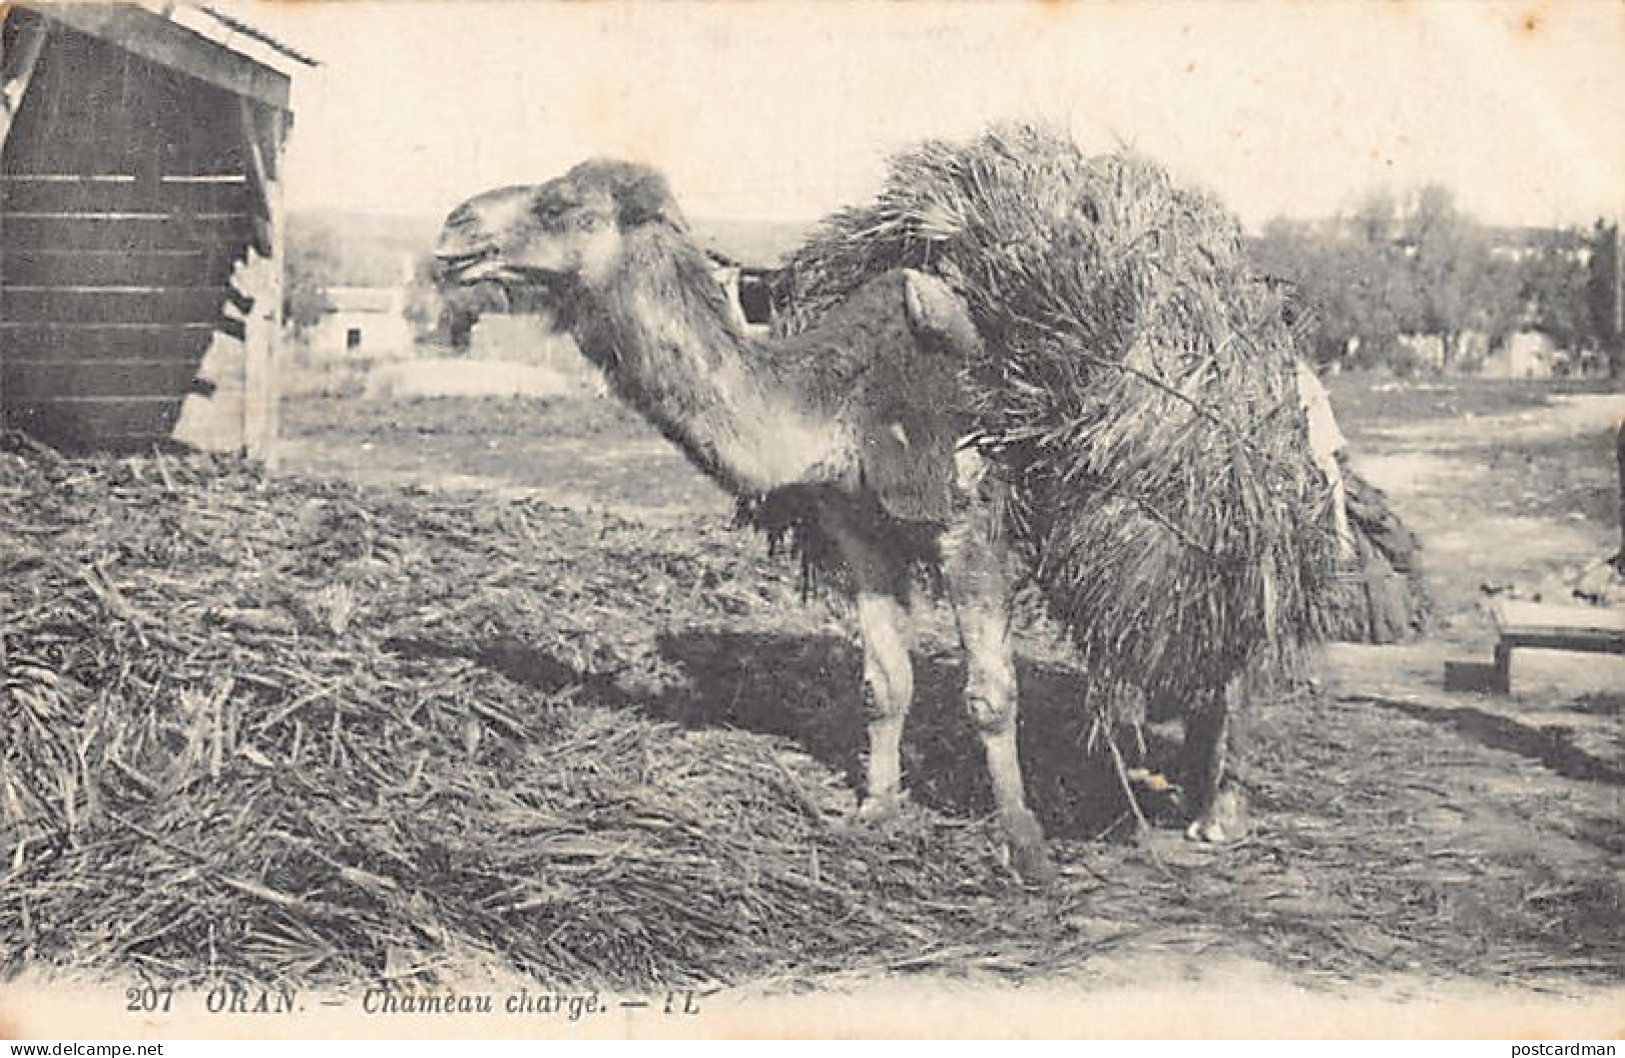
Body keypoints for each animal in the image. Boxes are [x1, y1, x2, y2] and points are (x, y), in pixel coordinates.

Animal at [438, 159, 1235, 884]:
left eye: (559, 204)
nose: (453, 227)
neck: (843, 403)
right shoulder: (859, 528)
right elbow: (884, 680)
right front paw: (874, 810)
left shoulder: (970, 521)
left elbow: (990, 693)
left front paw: (1024, 847)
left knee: (1230, 655)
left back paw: (1216, 814)